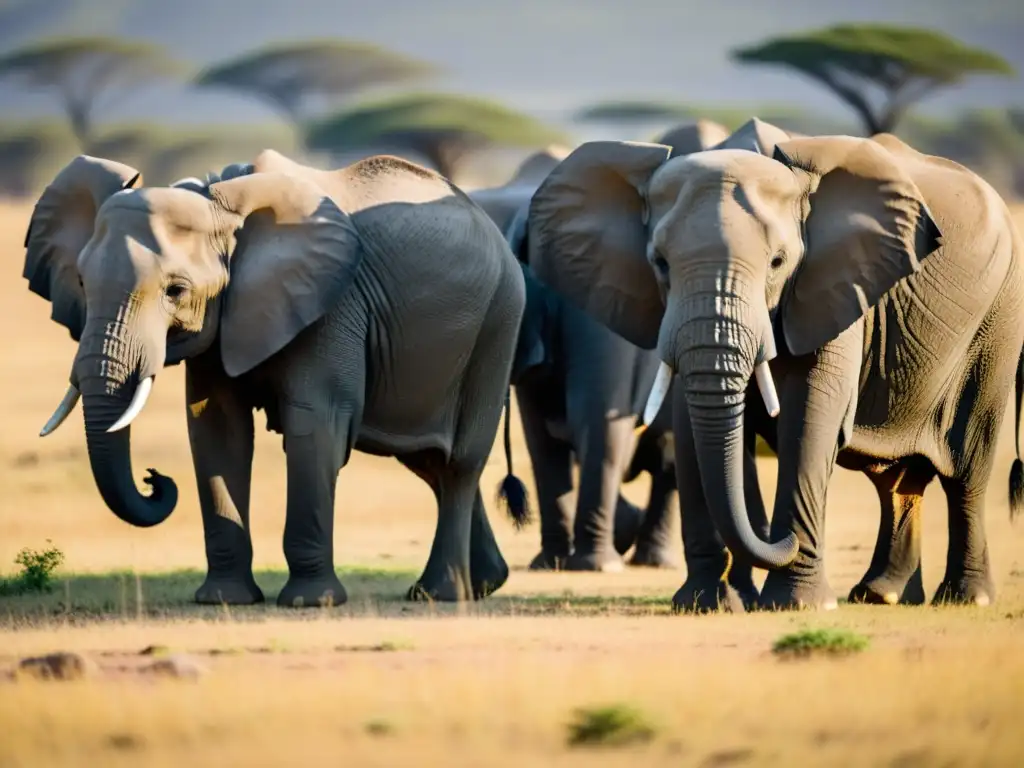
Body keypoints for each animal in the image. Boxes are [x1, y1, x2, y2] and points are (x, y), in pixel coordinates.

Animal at [24, 148, 528, 606]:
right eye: (82, 283)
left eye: (176, 291)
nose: (154, 478)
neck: (220, 202)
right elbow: (218, 430)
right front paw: (224, 601)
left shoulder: (332, 305)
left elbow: (314, 427)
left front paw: (312, 602)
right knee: (429, 462)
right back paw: (482, 584)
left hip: (499, 322)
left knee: (459, 464)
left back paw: (440, 594)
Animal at [520, 117, 1024, 614]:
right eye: (659, 263)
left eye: (778, 262)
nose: (778, 539)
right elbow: (693, 426)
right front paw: (709, 602)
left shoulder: (833, 284)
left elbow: (808, 418)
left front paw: (796, 604)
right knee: (895, 480)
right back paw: (881, 595)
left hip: (997, 323)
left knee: (966, 469)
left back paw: (965, 598)